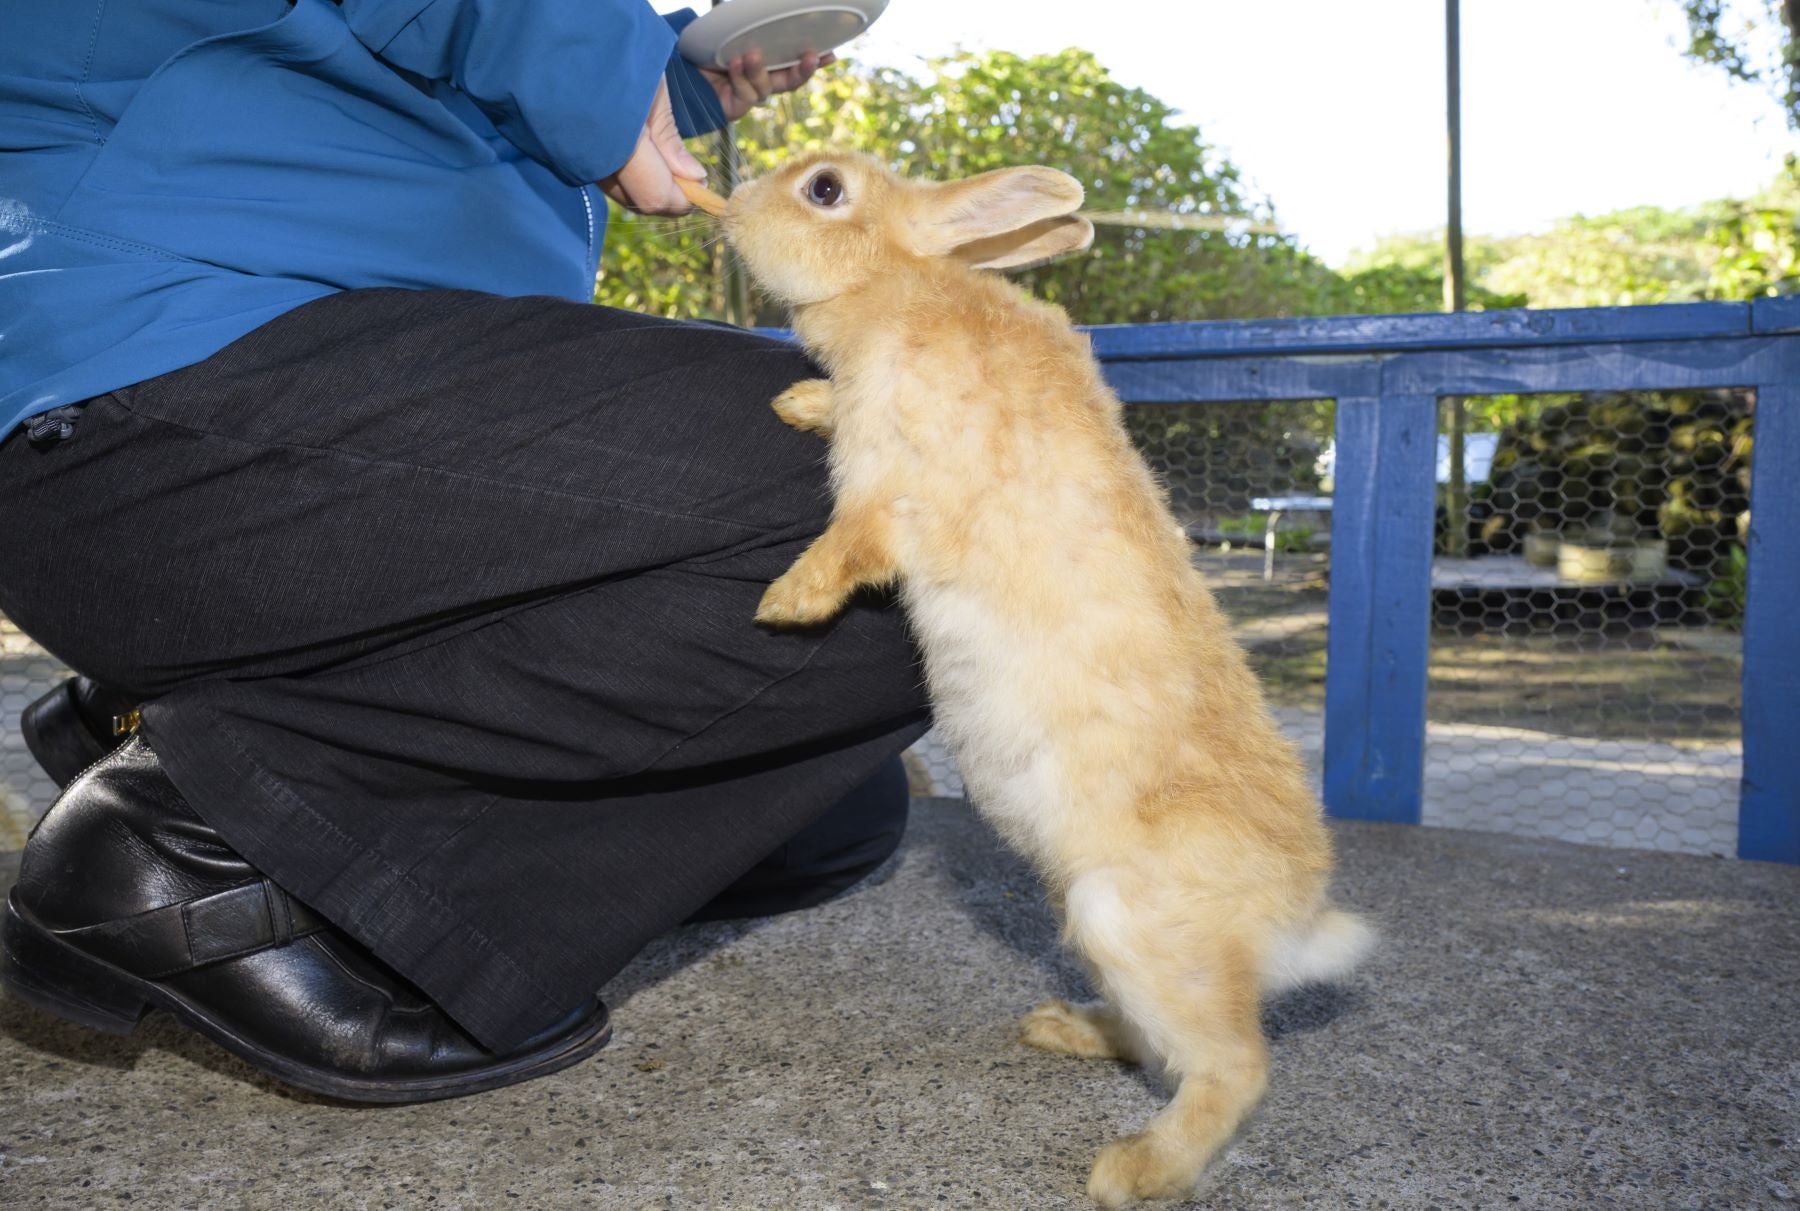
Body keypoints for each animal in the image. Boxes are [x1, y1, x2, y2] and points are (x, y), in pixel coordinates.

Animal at [709, 155, 1368, 1202]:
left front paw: (784, 602)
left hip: (1130, 925)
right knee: (1155, 1041)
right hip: (1091, 925)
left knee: (1234, 1069)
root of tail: (1291, 930)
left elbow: (852, 543)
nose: (729, 204)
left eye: (824, 188)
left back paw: (1133, 1169)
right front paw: (799, 404)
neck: (903, 285)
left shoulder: (892, 488)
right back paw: (1063, 1028)